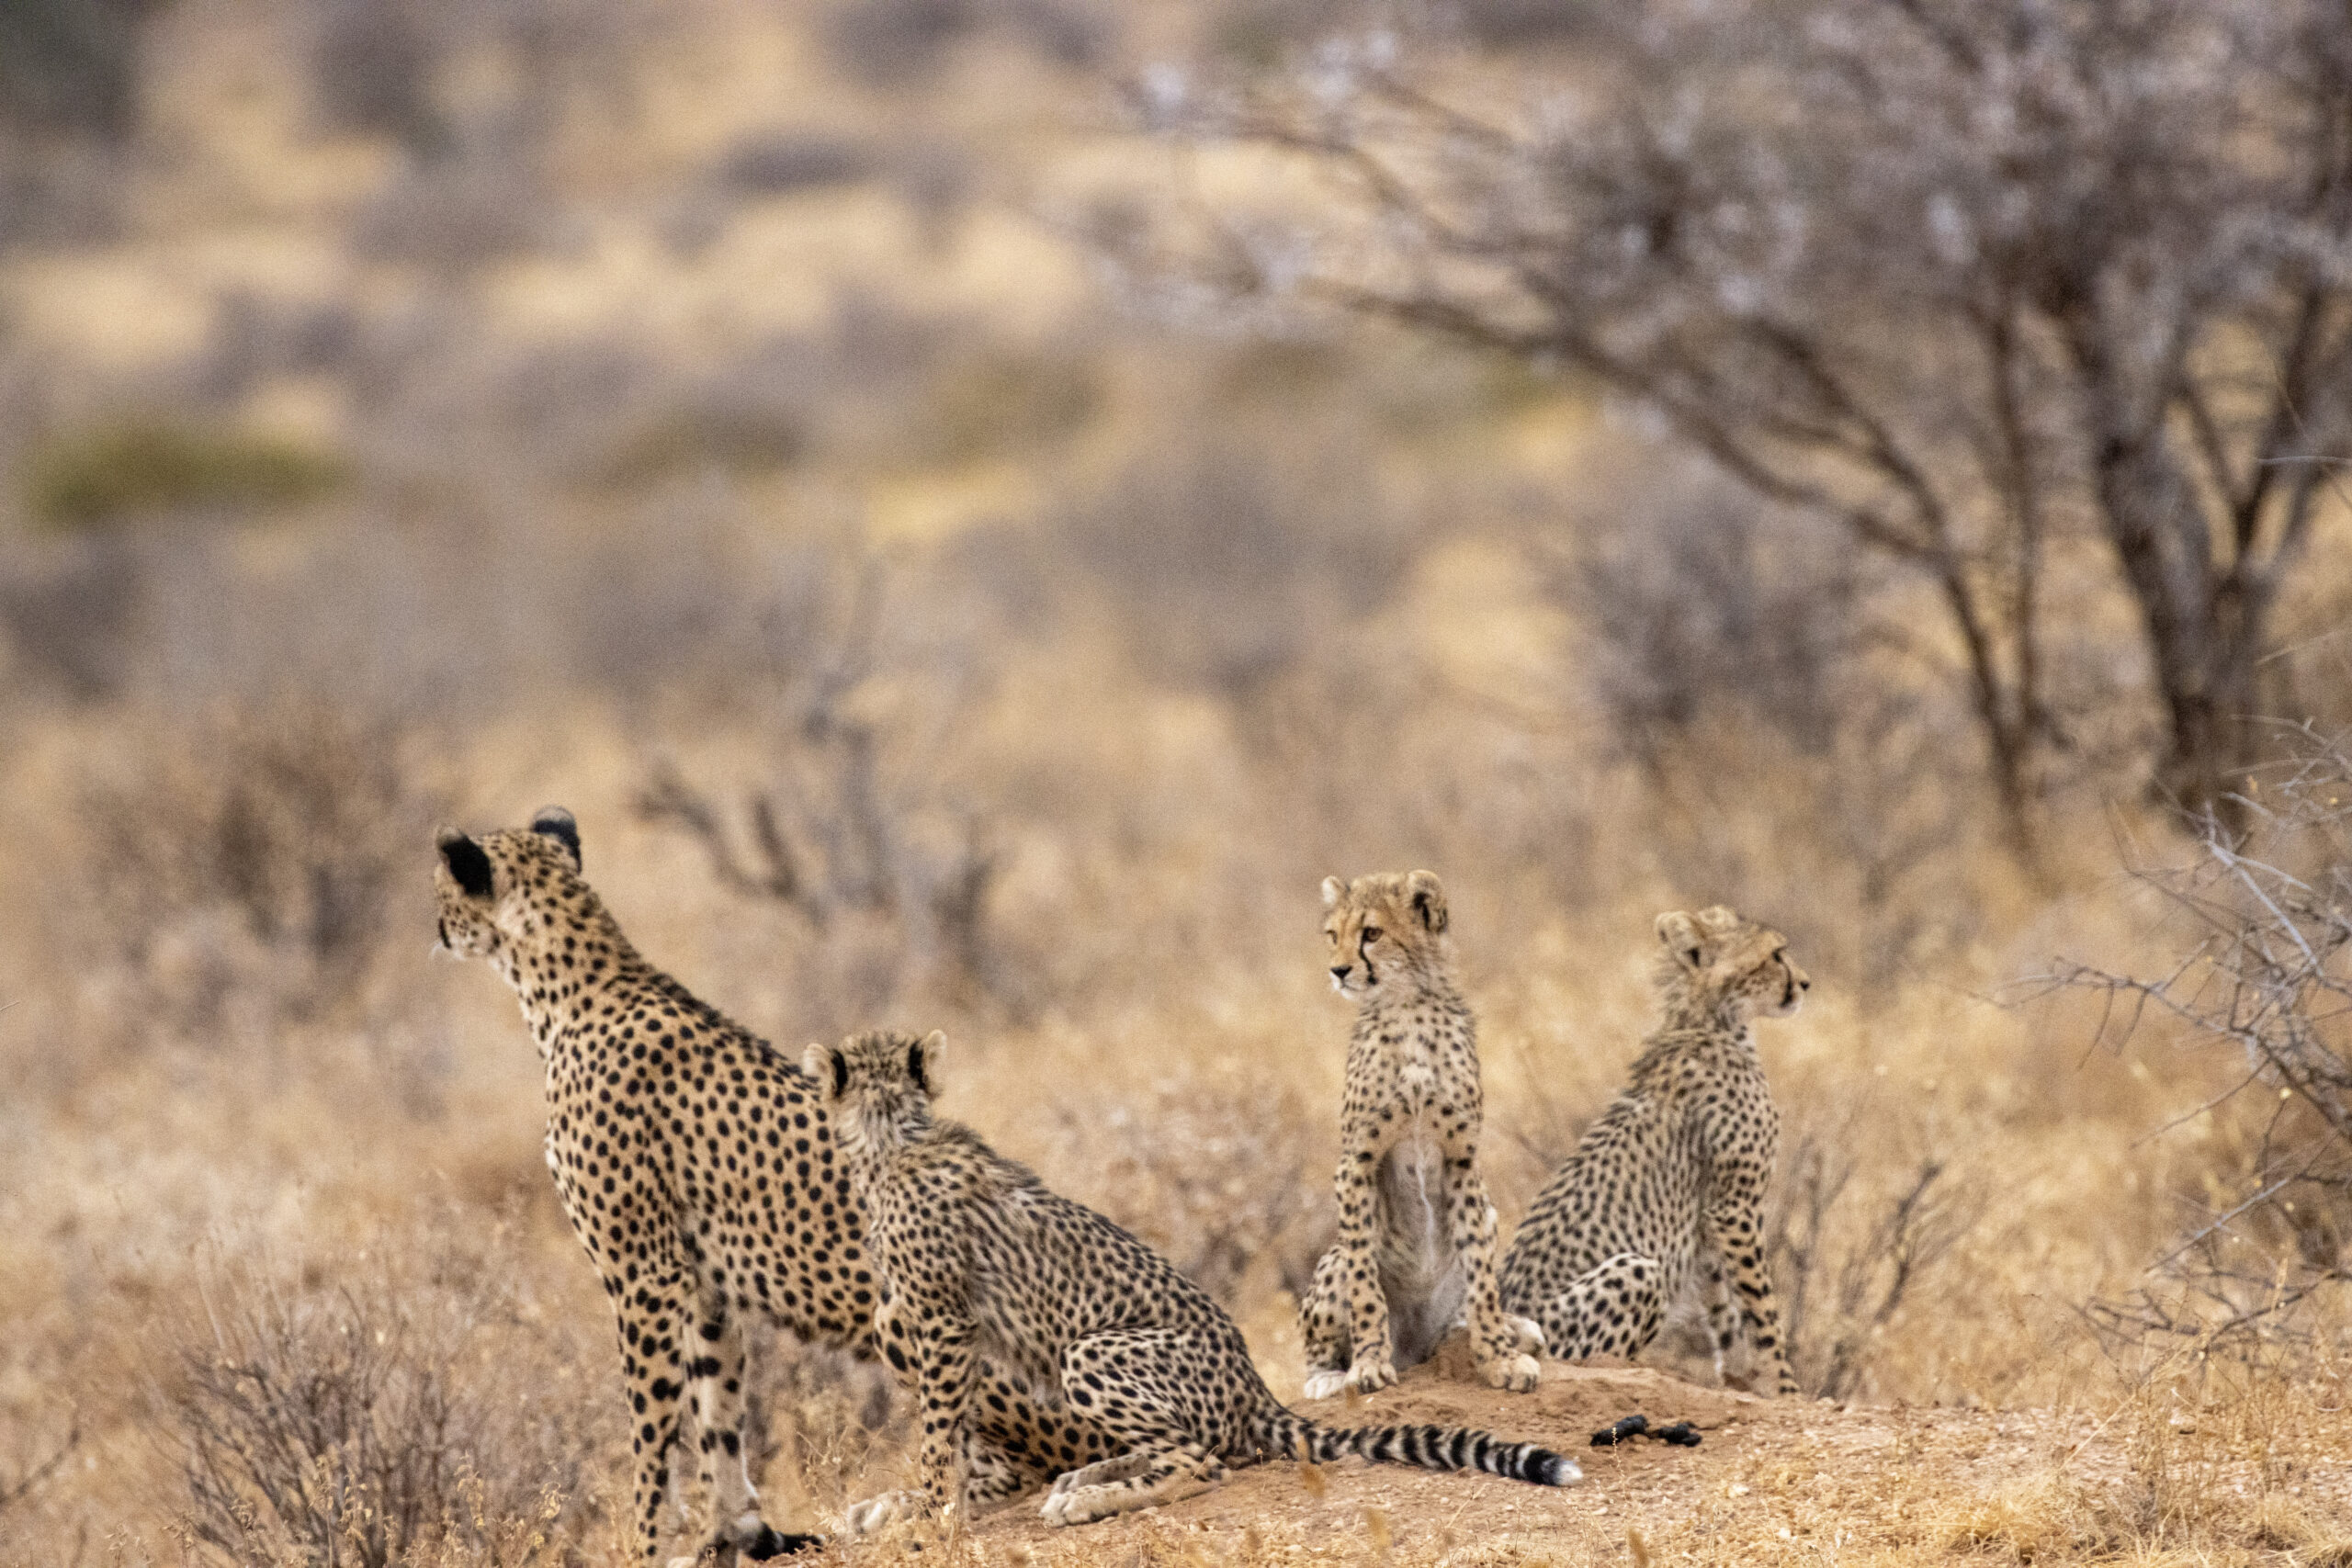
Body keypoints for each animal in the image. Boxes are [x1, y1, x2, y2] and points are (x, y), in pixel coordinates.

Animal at [437, 818, 1114, 1561]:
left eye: (439, 890)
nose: (435, 927)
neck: (573, 985)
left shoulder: (643, 1275)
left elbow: (650, 1432)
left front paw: (645, 1546)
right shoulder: (702, 1282)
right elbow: (717, 1410)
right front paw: (733, 1532)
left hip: (911, 1321)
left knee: (1029, 1460)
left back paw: (925, 1504)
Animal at [808, 1029, 1580, 1532]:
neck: (892, 1134)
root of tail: (1251, 1381)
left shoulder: (941, 1317)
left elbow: (941, 1430)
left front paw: (933, 1507)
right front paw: (926, 1500)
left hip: (1090, 1351)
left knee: (1199, 1459)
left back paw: (1090, 1495)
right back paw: (1089, 1475)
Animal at [1288, 879, 1543, 1401]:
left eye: (1371, 933)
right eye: (1332, 935)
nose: (1338, 970)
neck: (1407, 1007)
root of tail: (1416, 1350)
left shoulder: (1463, 1161)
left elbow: (1483, 1281)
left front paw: (1500, 1360)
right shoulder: (1357, 1162)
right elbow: (1364, 1284)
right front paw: (1368, 1365)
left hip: (1486, 1223)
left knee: (1459, 1319)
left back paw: (1508, 1329)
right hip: (1333, 1260)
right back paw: (1329, 1376)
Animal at [1496, 907, 1806, 1401]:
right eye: (1777, 954)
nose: (1806, 984)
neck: (1708, 1020)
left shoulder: (1708, 1221)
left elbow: (1722, 1309)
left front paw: (1736, 1378)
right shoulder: (1734, 1206)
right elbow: (1762, 1310)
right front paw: (1786, 1387)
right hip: (1638, 1272)